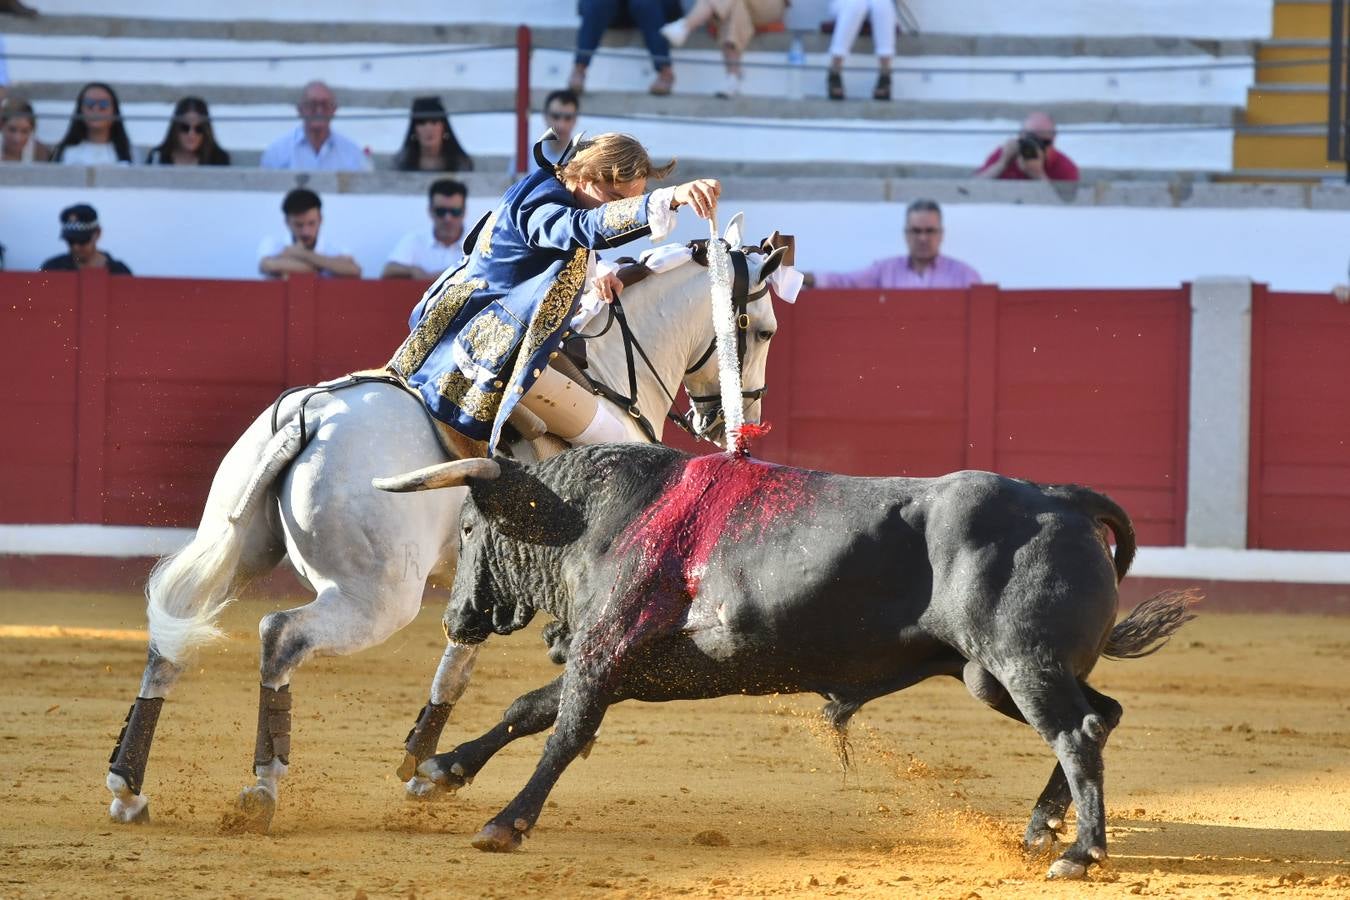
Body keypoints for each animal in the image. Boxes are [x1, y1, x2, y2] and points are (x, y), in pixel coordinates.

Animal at [108, 215, 788, 831]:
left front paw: (422, 765)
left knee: (171, 632)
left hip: (240, 548)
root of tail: (313, 416)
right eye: (762, 330)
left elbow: (458, 664)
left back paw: (129, 788)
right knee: (279, 635)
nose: (734, 422)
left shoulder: (484, 580)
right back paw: (263, 787)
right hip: (378, 597)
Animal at [380, 442, 1193, 879]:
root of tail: (1061, 499)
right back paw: (1040, 827)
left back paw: (1080, 852)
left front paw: (505, 823)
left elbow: (565, 732)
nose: (454, 617)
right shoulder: (630, 665)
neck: (594, 516)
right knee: (1100, 715)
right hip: (993, 675)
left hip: (1020, 664)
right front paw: (440, 771)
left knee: (1077, 732)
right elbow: (530, 709)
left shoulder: (605, 646)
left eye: (469, 526)